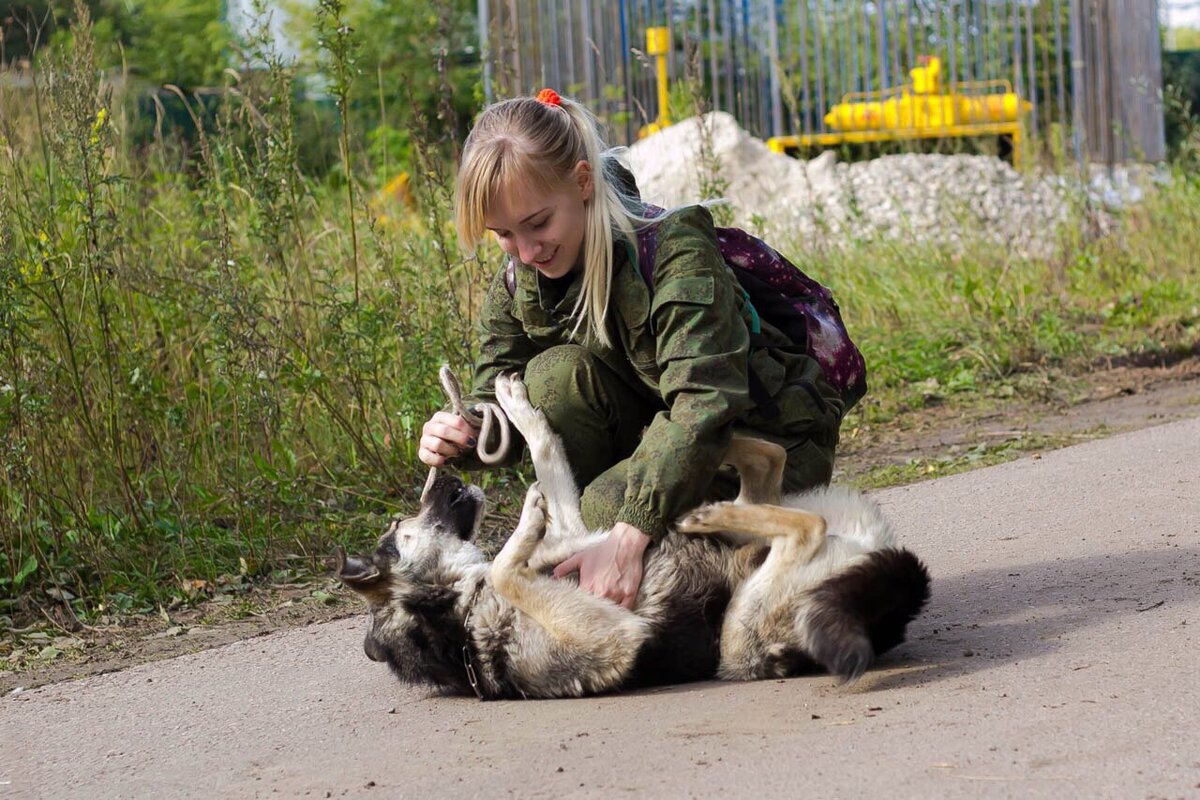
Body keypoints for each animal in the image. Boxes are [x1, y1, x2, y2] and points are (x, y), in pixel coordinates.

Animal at [333, 371, 931, 695]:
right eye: (397, 527)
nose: (442, 472)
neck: (455, 598)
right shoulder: (616, 636)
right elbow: (507, 569)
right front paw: (525, 519)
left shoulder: (576, 531)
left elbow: (547, 453)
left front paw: (518, 409)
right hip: (739, 635)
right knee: (803, 522)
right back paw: (706, 506)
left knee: (767, 458)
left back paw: (691, 429)